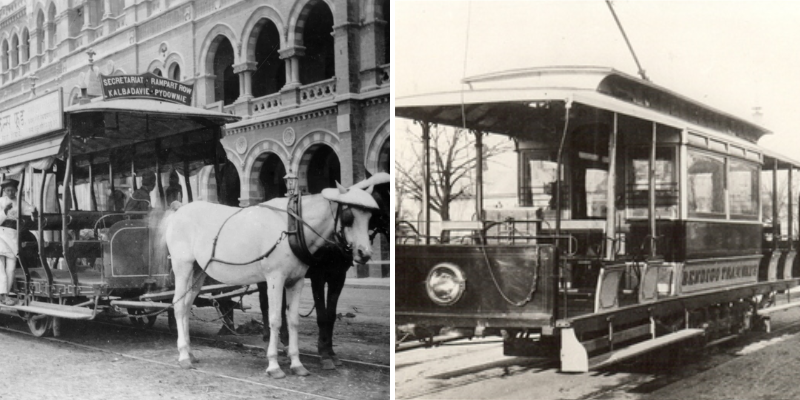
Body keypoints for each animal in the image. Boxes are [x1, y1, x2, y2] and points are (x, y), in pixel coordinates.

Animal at [160, 183, 382, 376]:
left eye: (370, 216)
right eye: (348, 216)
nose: (364, 253)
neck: (293, 228)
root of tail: (179, 211)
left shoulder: (297, 281)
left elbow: (293, 320)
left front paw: (297, 364)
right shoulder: (276, 278)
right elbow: (275, 319)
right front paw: (274, 365)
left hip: (199, 271)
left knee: (186, 306)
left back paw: (190, 353)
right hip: (182, 266)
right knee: (178, 306)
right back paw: (183, 356)